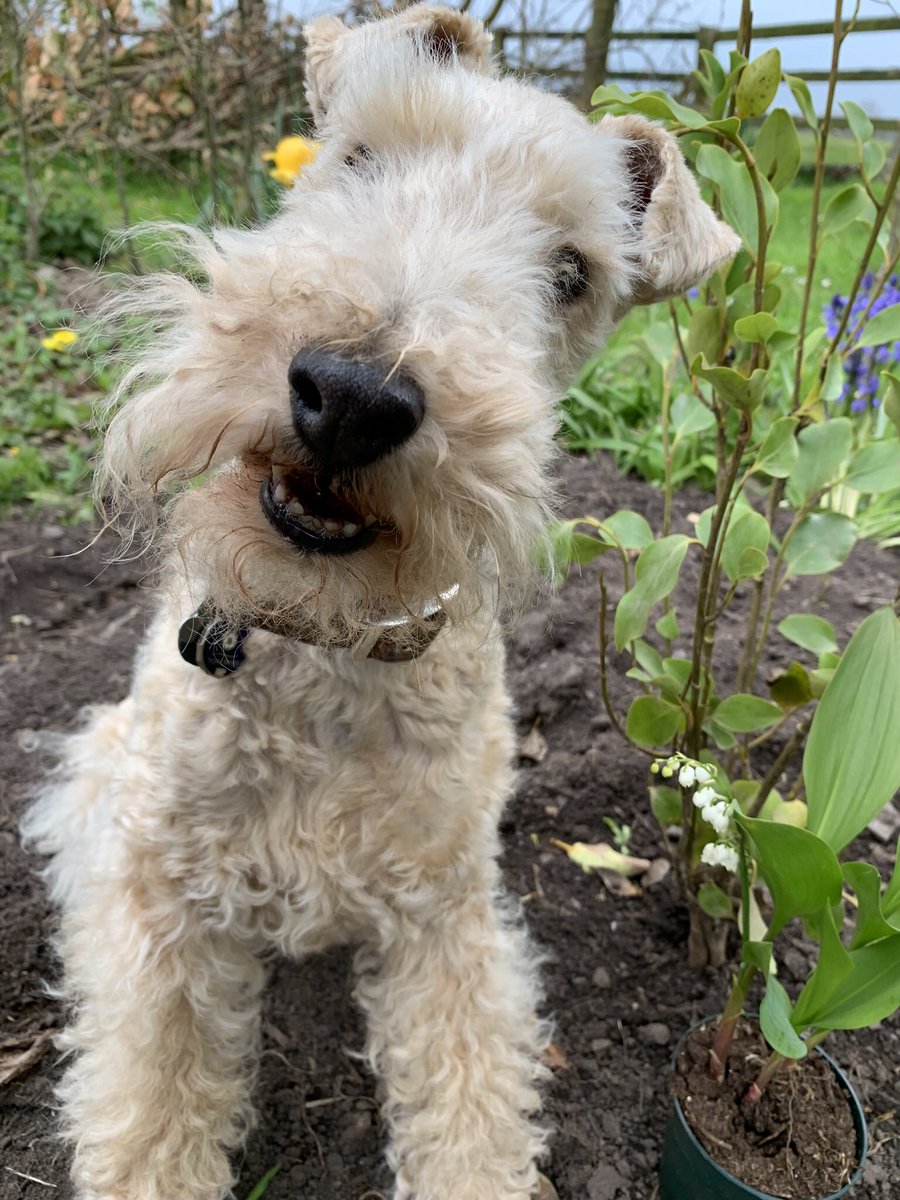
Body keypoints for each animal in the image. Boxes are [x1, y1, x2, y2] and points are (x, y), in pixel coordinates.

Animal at [22, 9, 739, 1200]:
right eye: (359, 156)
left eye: (572, 272)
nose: (354, 398)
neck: (326, 645)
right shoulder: (167, 893)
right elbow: (153, 1099)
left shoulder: (446, 911)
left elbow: (470, 1102)